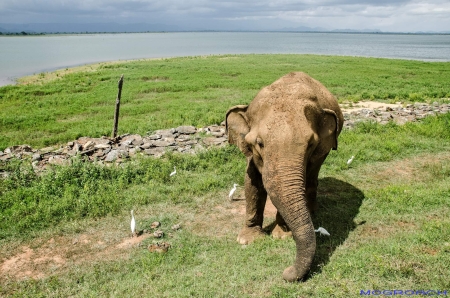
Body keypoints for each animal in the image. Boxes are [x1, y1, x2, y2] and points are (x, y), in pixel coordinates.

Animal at [225, 72, 344, 282]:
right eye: (259, 143)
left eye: (310, 144)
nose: (286, 272)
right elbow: (252, 183)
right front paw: (247, 240)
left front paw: (281, 236)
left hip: (327, 148)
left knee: (312, 177)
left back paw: (312, 211)